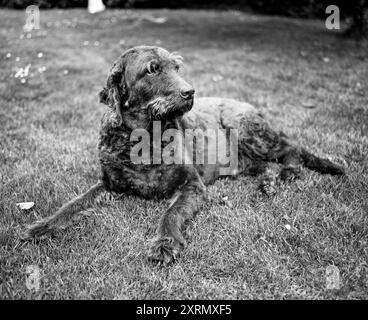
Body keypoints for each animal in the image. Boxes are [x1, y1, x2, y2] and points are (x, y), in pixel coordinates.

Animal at [23, 45, 344, 264]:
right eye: (152, 69)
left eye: (176, 67)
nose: (190, 92)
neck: (145, 138)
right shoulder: (108, 184)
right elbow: (73, 204)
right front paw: (42, 227)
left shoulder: (192, 185)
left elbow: (171, 212)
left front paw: (165, 243)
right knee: (266, 164)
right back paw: (268, 182)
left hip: (244, 127)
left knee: (291, 147)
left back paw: (290, 171)